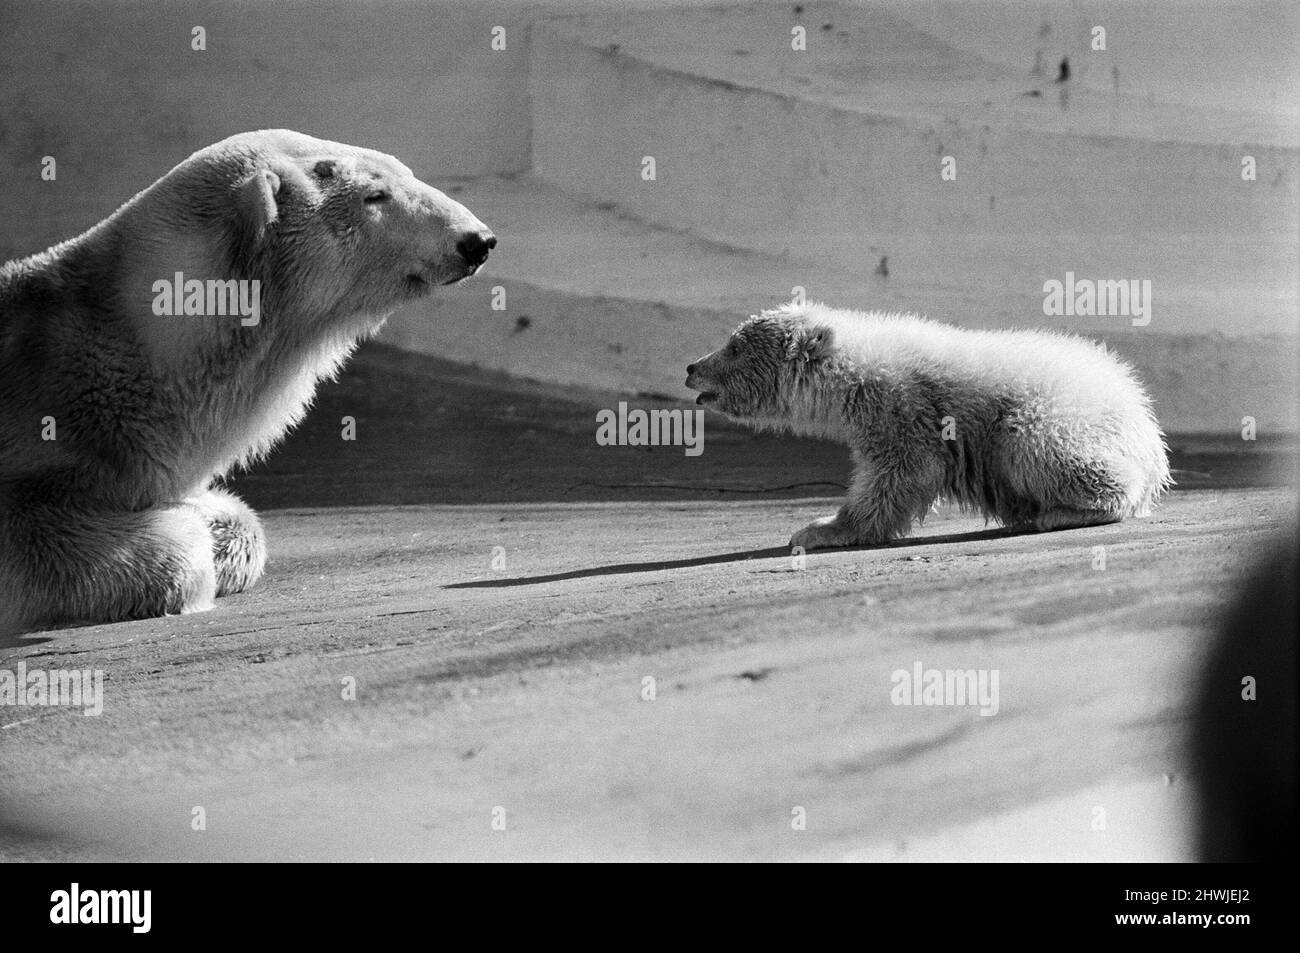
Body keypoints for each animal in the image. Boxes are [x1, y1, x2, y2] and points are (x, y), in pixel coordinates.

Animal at [685, 302, 1172, 551]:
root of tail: (1146, 427)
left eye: (734, 346)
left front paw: (820, 529)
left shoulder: (903, 407)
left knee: (1033, 445)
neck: (854, 371)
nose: (691, 367)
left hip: (1055, 415)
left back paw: (1061, 511)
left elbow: (904, 471)